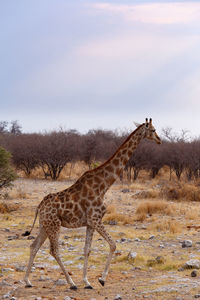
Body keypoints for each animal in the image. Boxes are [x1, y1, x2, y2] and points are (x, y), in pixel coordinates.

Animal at [23, 118, 161, 290]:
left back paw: (28, 281)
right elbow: (113, 245)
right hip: (54, 225)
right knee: (54, 251)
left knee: (34, 246)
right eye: (153, 130)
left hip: (45, 225)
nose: (159, 140)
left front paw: (87, 281)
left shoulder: (90, 223)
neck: (103, 186)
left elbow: (87, 250)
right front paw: (101, 279)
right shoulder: (96, 219)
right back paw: (71, 283)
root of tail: (39, 206)